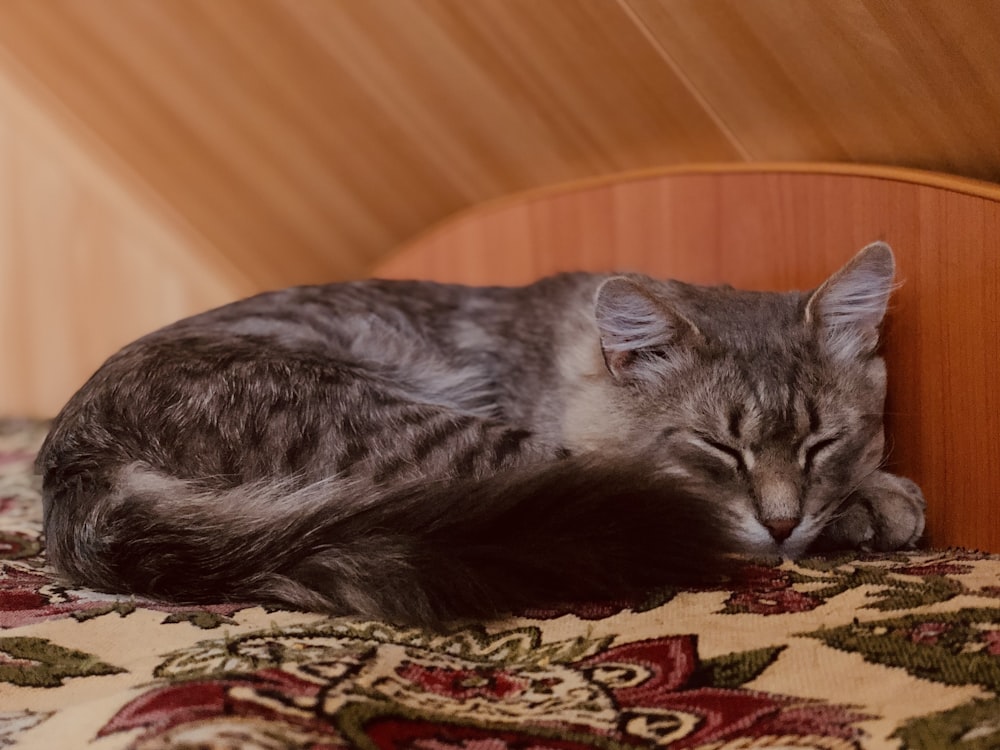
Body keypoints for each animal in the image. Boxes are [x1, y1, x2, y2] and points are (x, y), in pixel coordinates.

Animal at [35, 242, 924, 628]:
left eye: (820, 443)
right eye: (718, 448)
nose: (780, 521)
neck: (563, 362)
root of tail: (77, 467)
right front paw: (876, 501)